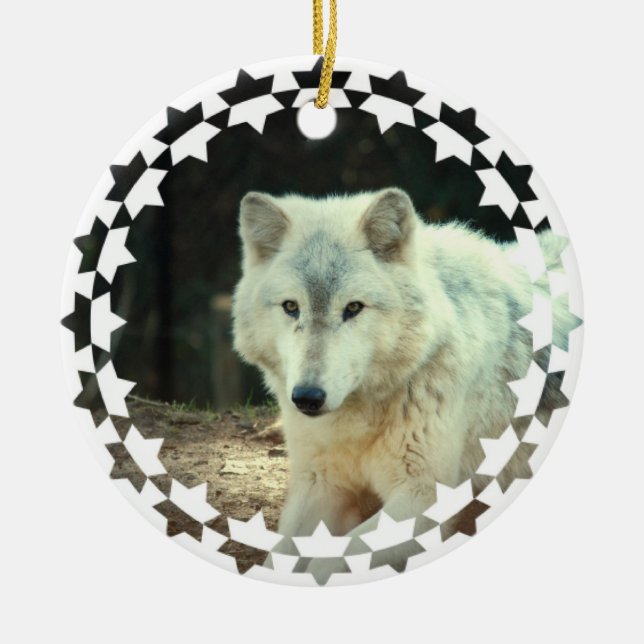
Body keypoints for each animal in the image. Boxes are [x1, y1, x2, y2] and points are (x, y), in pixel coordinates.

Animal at [231, 188, 574, 579]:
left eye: (353, 308)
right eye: (291, 307)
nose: (307, 397)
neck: (359, 422)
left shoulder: (424, 496)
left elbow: (329, 562)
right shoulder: (319, 483)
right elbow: (280, 557)